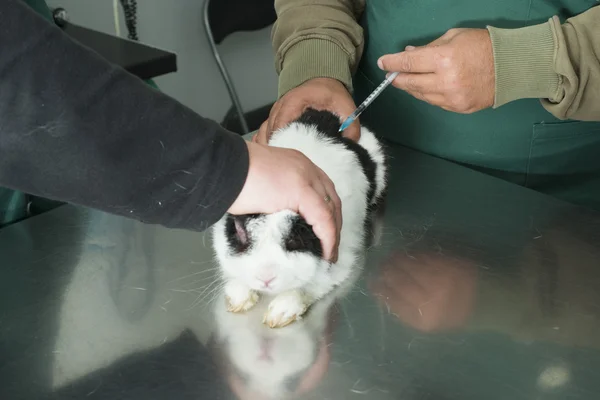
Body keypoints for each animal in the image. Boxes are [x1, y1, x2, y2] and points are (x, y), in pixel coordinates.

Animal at [211, 107, 390, 328]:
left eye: (296, 239)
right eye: (239, 232)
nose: (265, 278)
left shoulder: (340, 260)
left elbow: (308, 286)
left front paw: (279, 314)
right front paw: (238, 300)